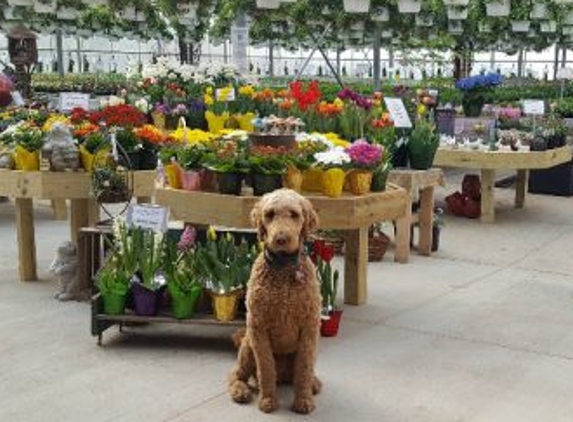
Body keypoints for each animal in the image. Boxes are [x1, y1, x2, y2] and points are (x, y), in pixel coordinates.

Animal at [229, 190, 326, 414]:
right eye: (270, 214)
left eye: (294, 214)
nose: (281, 239)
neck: (283, 268)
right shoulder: (259, 328)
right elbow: (266, 368)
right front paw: (268, 400)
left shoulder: (309, 327)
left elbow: (304, 368)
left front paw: (303, 400)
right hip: (248, 344)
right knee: (236, 376)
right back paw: (240, 391)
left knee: (301, 373)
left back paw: (313, 383)